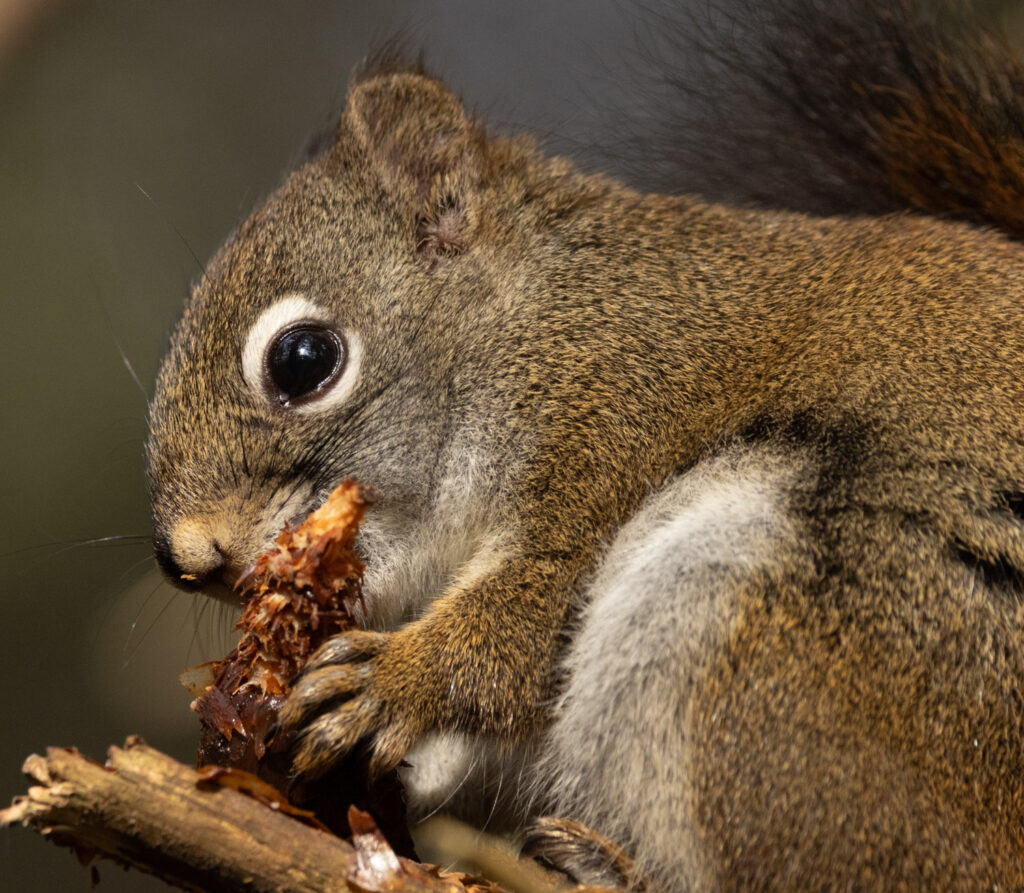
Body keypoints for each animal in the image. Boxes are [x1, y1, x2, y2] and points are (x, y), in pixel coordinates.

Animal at [148, 0, 1024, 888]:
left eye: (302, 359)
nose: (184, 556)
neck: (542, 318)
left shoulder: (617, 421)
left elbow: (530, 613)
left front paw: (390, 683)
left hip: (792, 637)